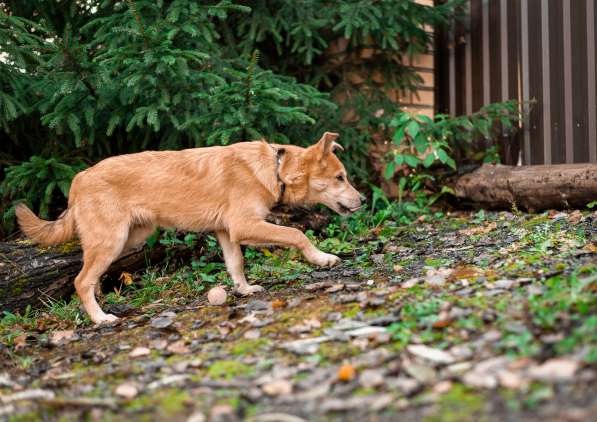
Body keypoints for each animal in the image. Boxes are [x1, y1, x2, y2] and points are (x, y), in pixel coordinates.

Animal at [16, 132, 364, 324]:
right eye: (340, 178)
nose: (362, 200)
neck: (277, 168)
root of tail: (78, 179)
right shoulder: (244, 225)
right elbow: (297, 234)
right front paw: (322, 258)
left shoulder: (227, 232)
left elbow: (236, 263)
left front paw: (244, 290)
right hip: (112, 241)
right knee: (81, 280)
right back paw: (100, 318)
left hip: (128, 239)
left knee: (86, 275)